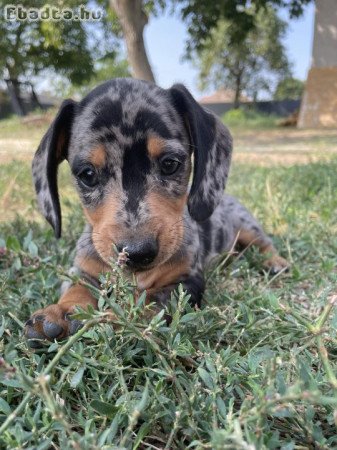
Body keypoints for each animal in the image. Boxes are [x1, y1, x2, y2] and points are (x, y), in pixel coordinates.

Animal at [25, 79, 288, 342]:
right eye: (87, 174)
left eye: (170, 163)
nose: (137, 252)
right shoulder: (83, 270)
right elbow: (78, 287)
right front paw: (60, 311)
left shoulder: (185, 282)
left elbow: (151, 302)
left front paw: (120, 318)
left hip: (248, 226)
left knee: (265, 243)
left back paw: (275, 262)